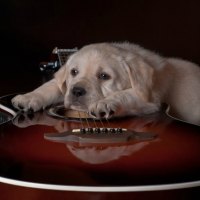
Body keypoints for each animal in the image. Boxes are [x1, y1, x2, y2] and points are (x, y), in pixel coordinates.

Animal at [11, 42, 200, 123]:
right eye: (74, 72)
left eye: (104, 76)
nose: (77, 91)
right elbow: (53, 86)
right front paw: (29, 97)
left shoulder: (149, 100)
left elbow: (125, 95)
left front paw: (106, 103)